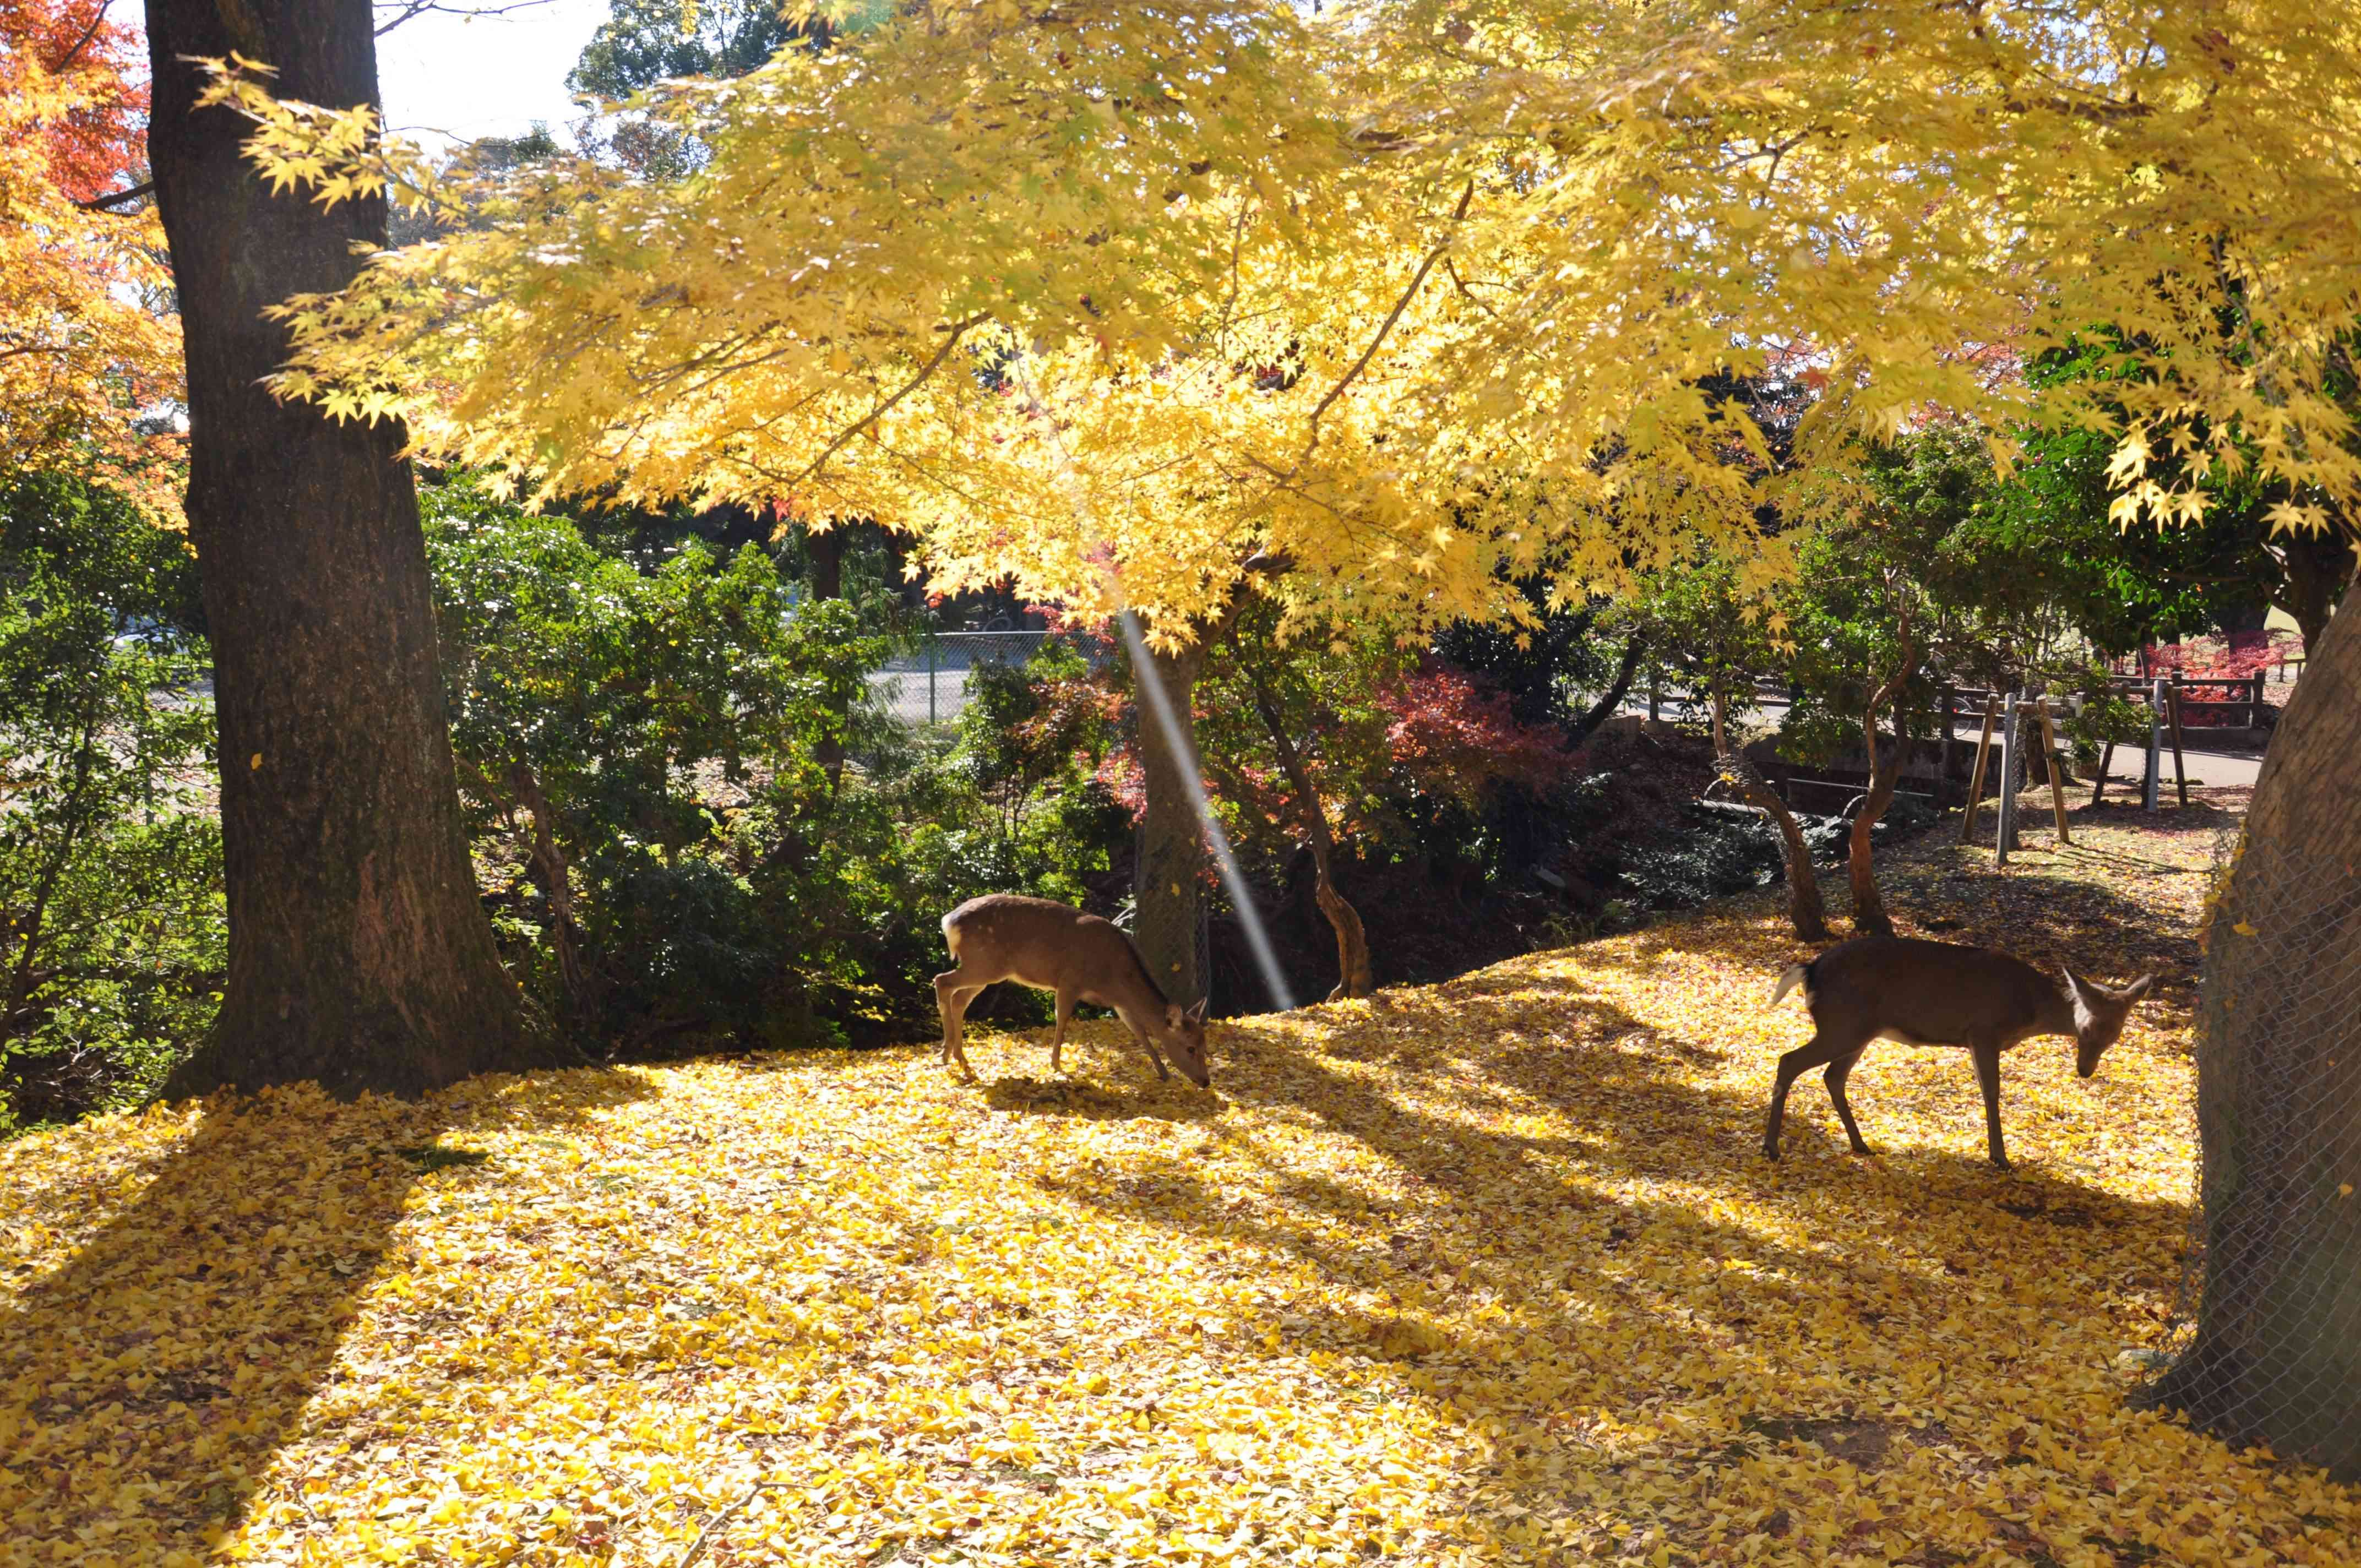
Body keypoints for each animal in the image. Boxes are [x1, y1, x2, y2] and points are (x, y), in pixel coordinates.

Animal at [930, 902, 1209, 1086]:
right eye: (1190, 1048)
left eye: (1205, 1045)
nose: (1205, 1081)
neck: (1114, 976)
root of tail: (948, 922)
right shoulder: (1069, 981)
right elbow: (1062, 1020)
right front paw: (1056, 1065)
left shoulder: (1120, 1003)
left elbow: (1139, 1031)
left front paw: (1164, 1073)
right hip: (984, 964)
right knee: (942, 981)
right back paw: (946, 1054)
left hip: (986, 970)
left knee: (959, 999)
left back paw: (960, 1058)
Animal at [1766, 935, 2153, 1171]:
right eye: (2086, 1029)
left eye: (2115, 1036)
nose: (2085, 1070)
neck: (2030, 1010)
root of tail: (1810, 970)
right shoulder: (1983, 1032)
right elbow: (1992, 1093)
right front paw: (2000, 1158)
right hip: (1842, 1024)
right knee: (1789, 1061)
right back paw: (1771, 1148)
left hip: (1857, 1031)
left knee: (1832, 1076)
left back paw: (1860, 1144)